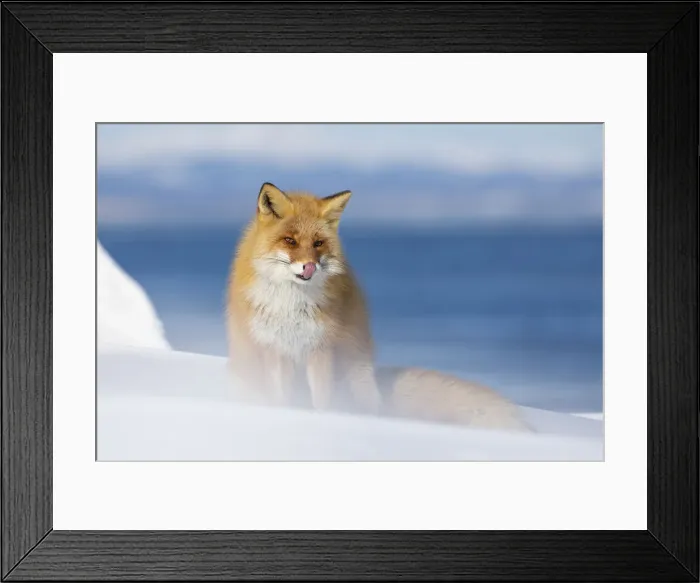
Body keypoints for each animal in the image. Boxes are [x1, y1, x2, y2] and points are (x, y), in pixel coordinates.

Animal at [225, 182, 533, 433]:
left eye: (318, 243)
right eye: (289, 240)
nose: (309, 267)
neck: (291, 305)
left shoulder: (320, 347)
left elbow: (322, 400)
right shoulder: (274, 348)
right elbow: (281, 399)